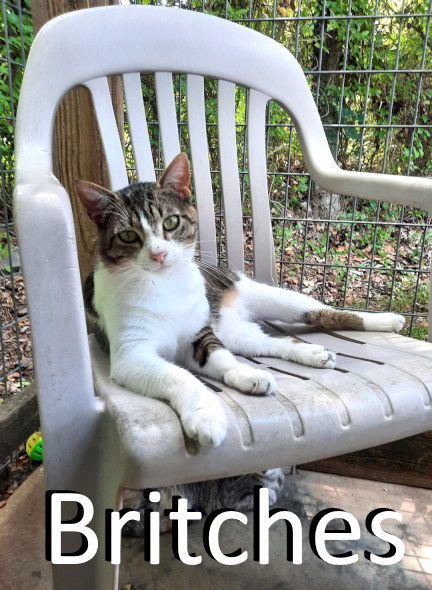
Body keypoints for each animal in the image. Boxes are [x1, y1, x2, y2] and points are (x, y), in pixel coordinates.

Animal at [77, 151, 404, 528]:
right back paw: (313, 354)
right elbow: (181, 375)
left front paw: (245, 375)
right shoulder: (132, 355)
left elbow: (218, 357)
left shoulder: (200, 334)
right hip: (239, 334)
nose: (159, 254)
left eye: (171, 223)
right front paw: (207, 414)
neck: (164, 285)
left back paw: (385, 320)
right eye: (129, 236)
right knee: (274, 343)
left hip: (268, 298)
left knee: (321, 312)